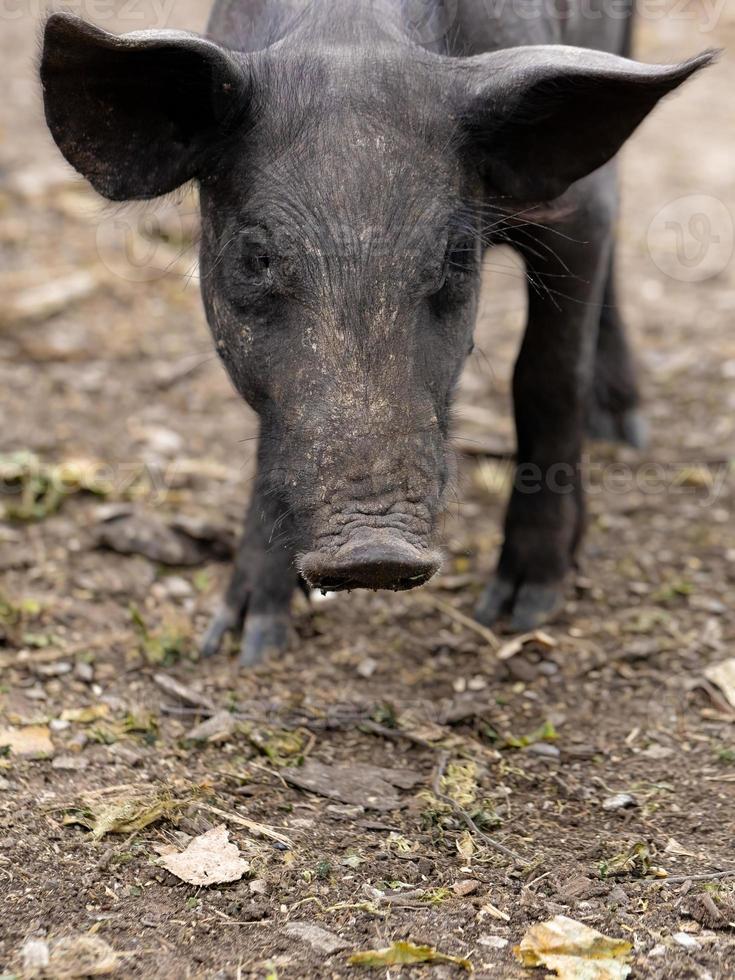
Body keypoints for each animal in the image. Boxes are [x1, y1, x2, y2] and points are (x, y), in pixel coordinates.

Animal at [38, 0, 712, 668]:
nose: (376, 553)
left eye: (455, 256)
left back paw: (622, 432)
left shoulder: (579, 212)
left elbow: (547, 376)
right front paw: (240, 644)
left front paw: (521, 609)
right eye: (258, 257)